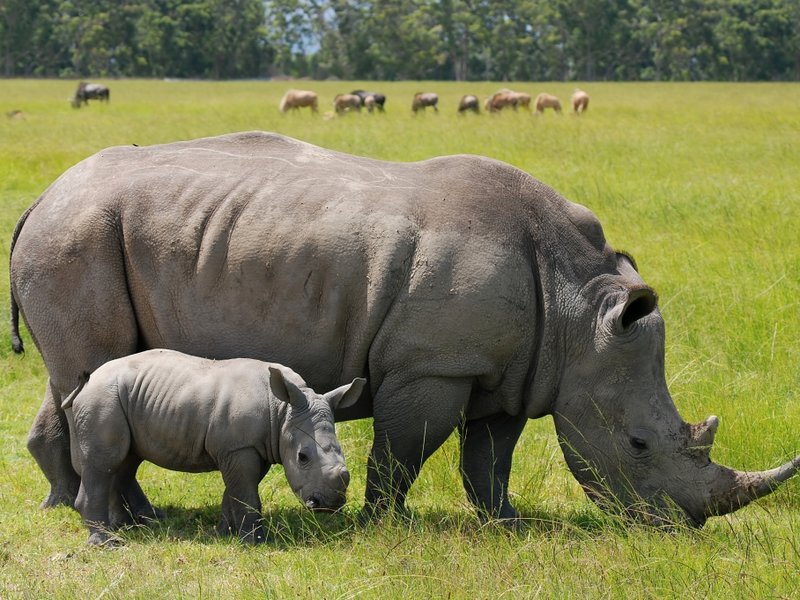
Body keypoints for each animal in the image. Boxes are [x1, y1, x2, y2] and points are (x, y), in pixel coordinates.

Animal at [62, 349, 363, 545]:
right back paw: (107, 543)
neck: (281, 410)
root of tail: (87, 382)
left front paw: (225, 533)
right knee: (104, 463)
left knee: (123, 462)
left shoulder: (249, 446)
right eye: (302, 457)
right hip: (103, 399)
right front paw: (256, 542)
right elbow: (246, 493)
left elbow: (237, 491)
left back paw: (129, 528)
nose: (329, 504)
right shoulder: (239, 448)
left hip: (119, 400)